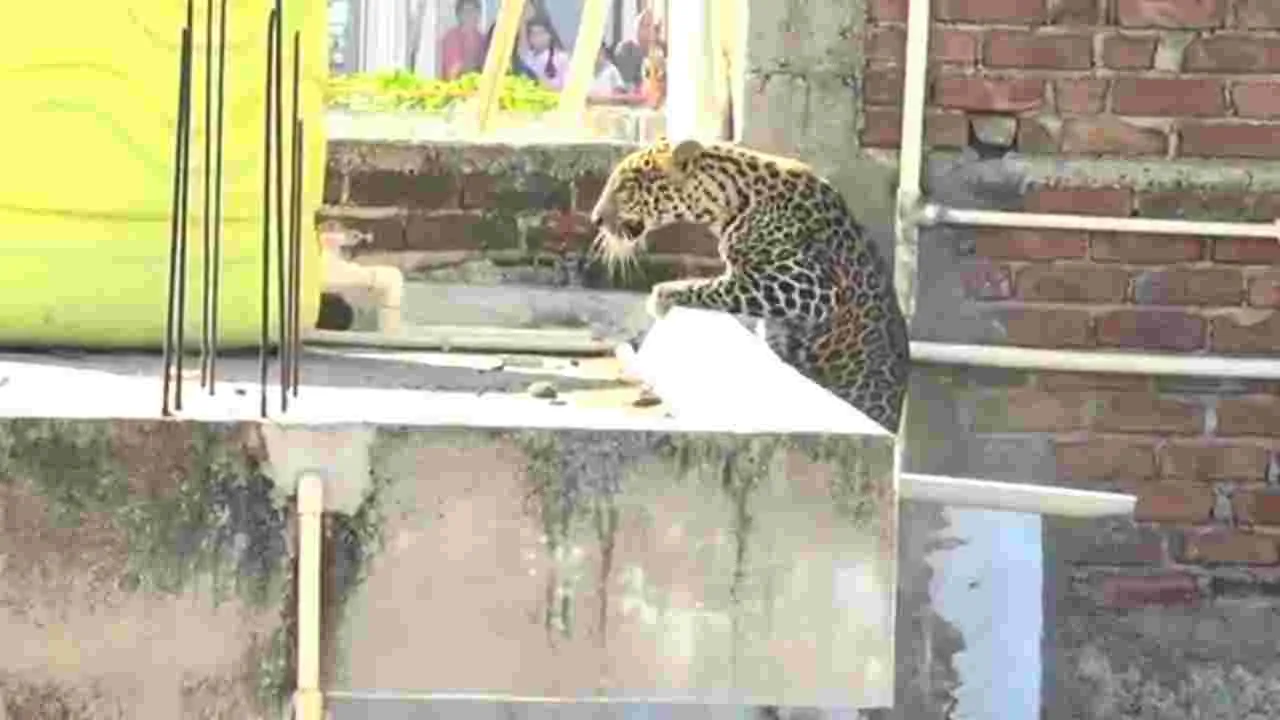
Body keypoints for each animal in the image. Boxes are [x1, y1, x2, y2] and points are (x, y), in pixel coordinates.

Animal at [588, 138, 910, 434]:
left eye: (625, 187)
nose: (595, 219)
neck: (725, 198)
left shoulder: (811, 289)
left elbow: (723, 286)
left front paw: (666, 293)